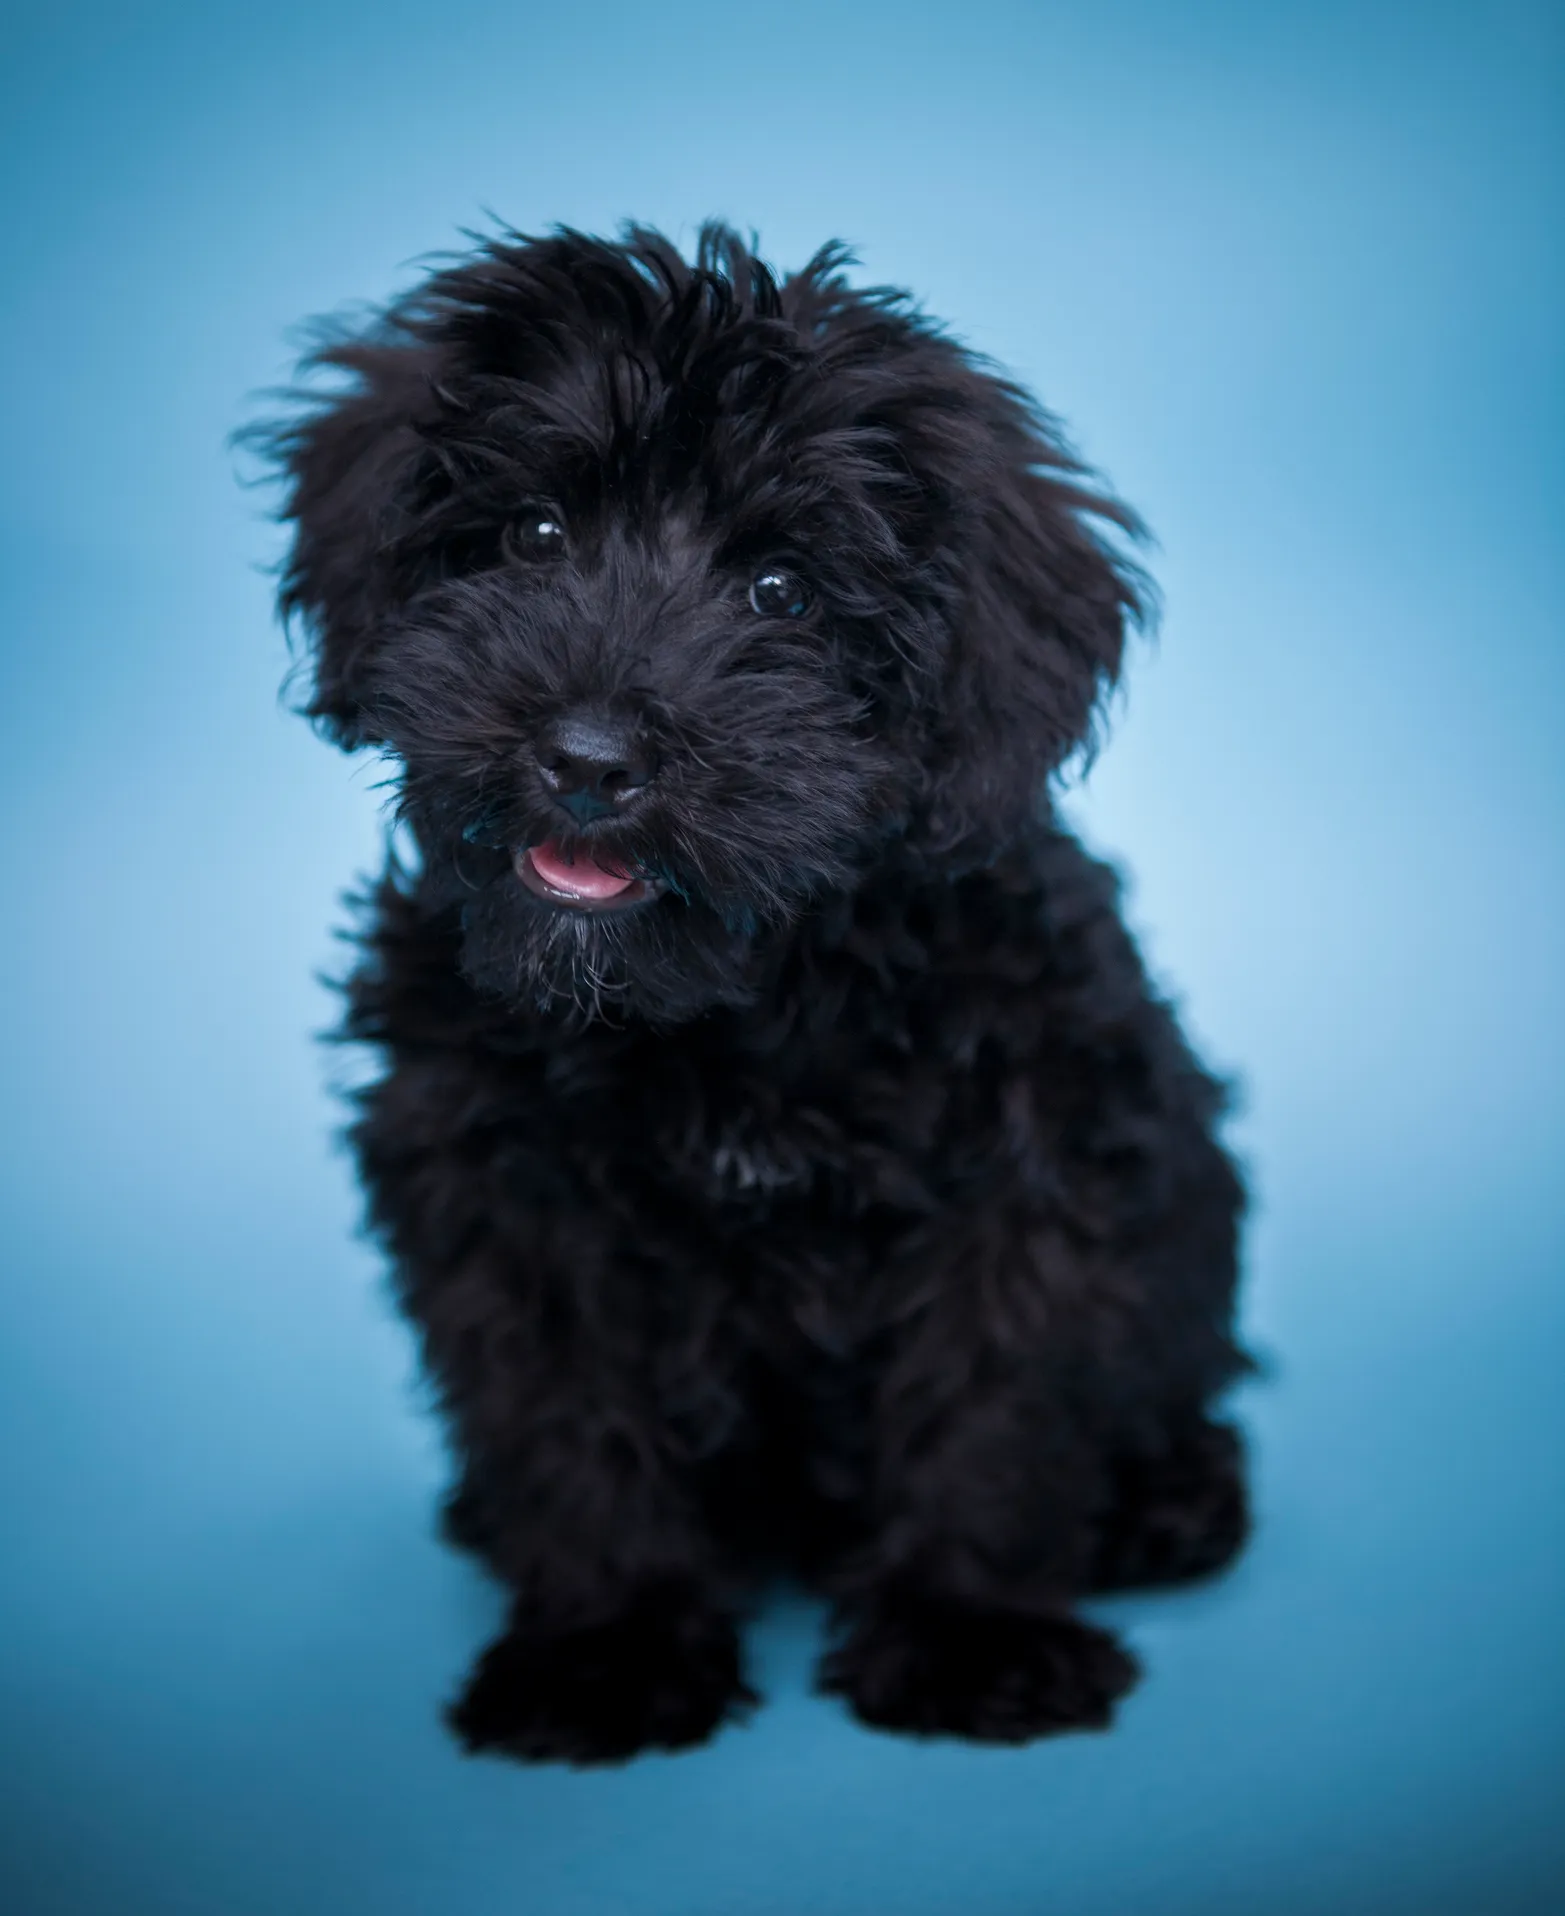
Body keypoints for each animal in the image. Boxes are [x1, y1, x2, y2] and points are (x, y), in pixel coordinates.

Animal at [262, 224, 1248, 1762]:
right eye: (534, 535)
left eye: (779, 592)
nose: (588, 757)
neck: (727, 1005)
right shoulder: (504, 1195)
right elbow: (571, 1424)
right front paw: (607, 1645)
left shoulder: (1026, 1176)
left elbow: (993, 1408)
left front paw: (967, 1634)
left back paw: (1165, 1501)